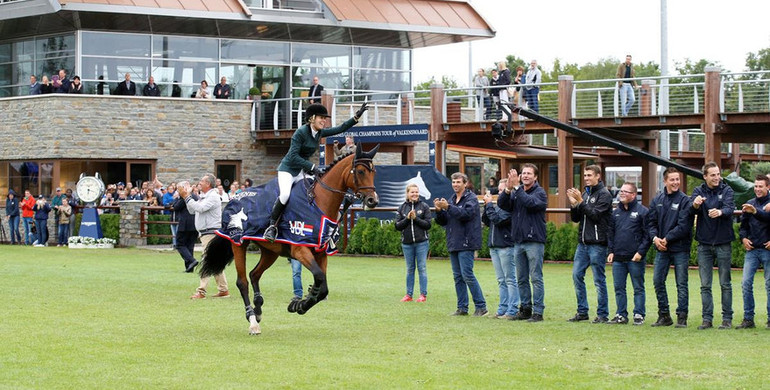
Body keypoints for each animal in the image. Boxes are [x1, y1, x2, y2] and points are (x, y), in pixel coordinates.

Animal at [198, 145, 378, 334]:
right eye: (360, 171)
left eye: (374, 172)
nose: (372, 200)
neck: (319, 202)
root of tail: (234, 199)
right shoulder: (300, 250)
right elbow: (319, 277)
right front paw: (300, 304)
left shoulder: (320, 253)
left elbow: (323, 287)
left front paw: (299, 304)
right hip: (238, 243)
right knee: (243, 282)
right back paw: (253, 321)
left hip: (270, 251)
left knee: (254, 274)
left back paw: (258, 309)